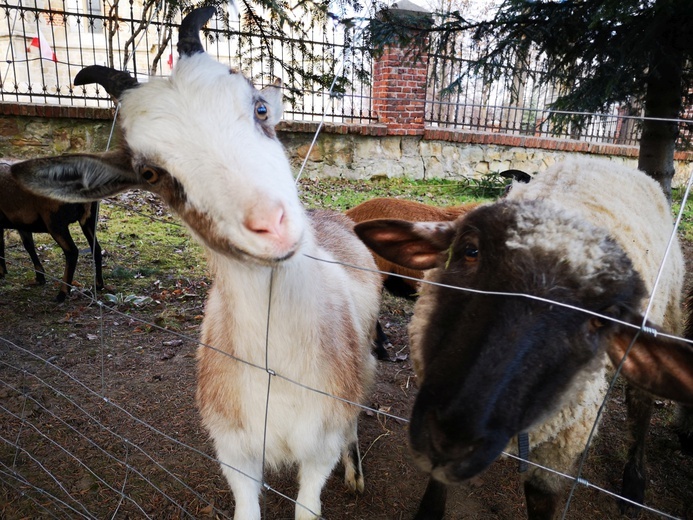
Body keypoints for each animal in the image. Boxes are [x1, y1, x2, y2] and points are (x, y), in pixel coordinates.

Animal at [9, 8, 378, 520]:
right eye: (150, 174)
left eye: (259, 109)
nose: (272, 225)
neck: (277, 374)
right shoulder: (234, 451)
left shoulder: (318, 447)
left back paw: (357, 471)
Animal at [354, 158, 692, 520]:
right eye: (470, 251)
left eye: (603, 319)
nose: (452, 438)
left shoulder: (555, 456)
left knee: (641, 405)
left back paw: (634, 484)